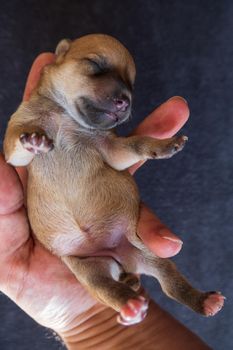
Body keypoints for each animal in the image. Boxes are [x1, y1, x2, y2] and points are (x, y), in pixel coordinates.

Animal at [3, 34, 224, 326]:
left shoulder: (110, 147)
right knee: (108, 288)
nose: (125, 101)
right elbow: (17, 148)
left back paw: (203, 301)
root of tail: (119, 261)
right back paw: (130, 305)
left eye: (131, 83)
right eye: (96, 65)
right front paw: (34, 141)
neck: (64, 116)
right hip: (87, 268)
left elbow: (136, 144)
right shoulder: (17, 134)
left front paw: (165, 145)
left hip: (143, 251)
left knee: (169, 281)